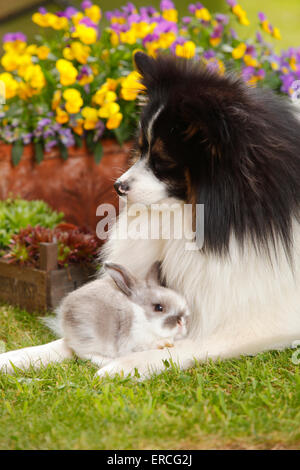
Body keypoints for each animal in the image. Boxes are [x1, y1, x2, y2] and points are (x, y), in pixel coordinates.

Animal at [0, 260, 189, 374]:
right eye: (159, 308)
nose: (181, 321)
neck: (141, 317)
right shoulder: (133, 341)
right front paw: (163, 344)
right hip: (92, 338)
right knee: (87, 355)